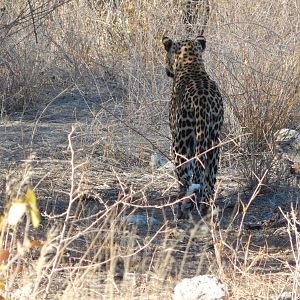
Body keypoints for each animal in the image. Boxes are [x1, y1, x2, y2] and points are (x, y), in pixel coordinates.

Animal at [162, 35, 223, 219]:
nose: (167, 71)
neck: (191, 63)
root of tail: (202, 104)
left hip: (180, 143)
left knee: (185, 178)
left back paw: (181, 209)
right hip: (214, 144)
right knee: (209, 181)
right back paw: (204, 210)